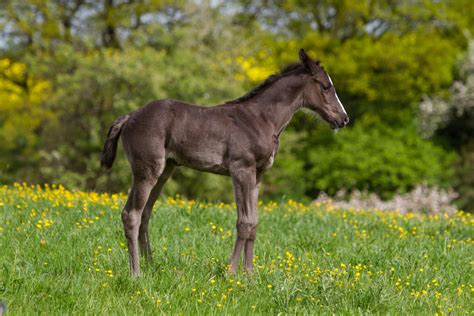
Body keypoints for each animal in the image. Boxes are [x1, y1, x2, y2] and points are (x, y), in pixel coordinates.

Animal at [102, 49, 350, 276]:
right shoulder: (241, 170)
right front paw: (231, 272)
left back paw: (151, 267)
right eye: (325, 86)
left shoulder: (257, 176)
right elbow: (244, 221)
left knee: (145, 213)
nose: (344, 119)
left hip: (164, 171)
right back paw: (136, 273)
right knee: (131, 214)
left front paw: (249, 274)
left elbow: (254, 223)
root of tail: (130, 116)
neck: (262, 119)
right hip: (146, 170)